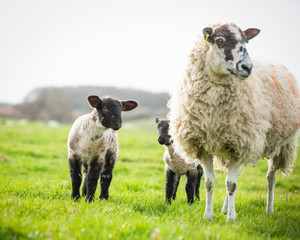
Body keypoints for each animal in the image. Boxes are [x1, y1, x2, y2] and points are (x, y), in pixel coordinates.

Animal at [169, 23, 300, 221]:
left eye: (246, 41)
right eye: (220, 41)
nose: (247, 67)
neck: (213, 110)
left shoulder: (240, 144)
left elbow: (231, 184)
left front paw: (231, 218)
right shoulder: (204, 147)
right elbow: (209, 183)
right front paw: (209, 216)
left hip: (282, 144)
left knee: (270, 178)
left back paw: (268, 210)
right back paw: (224, 208)